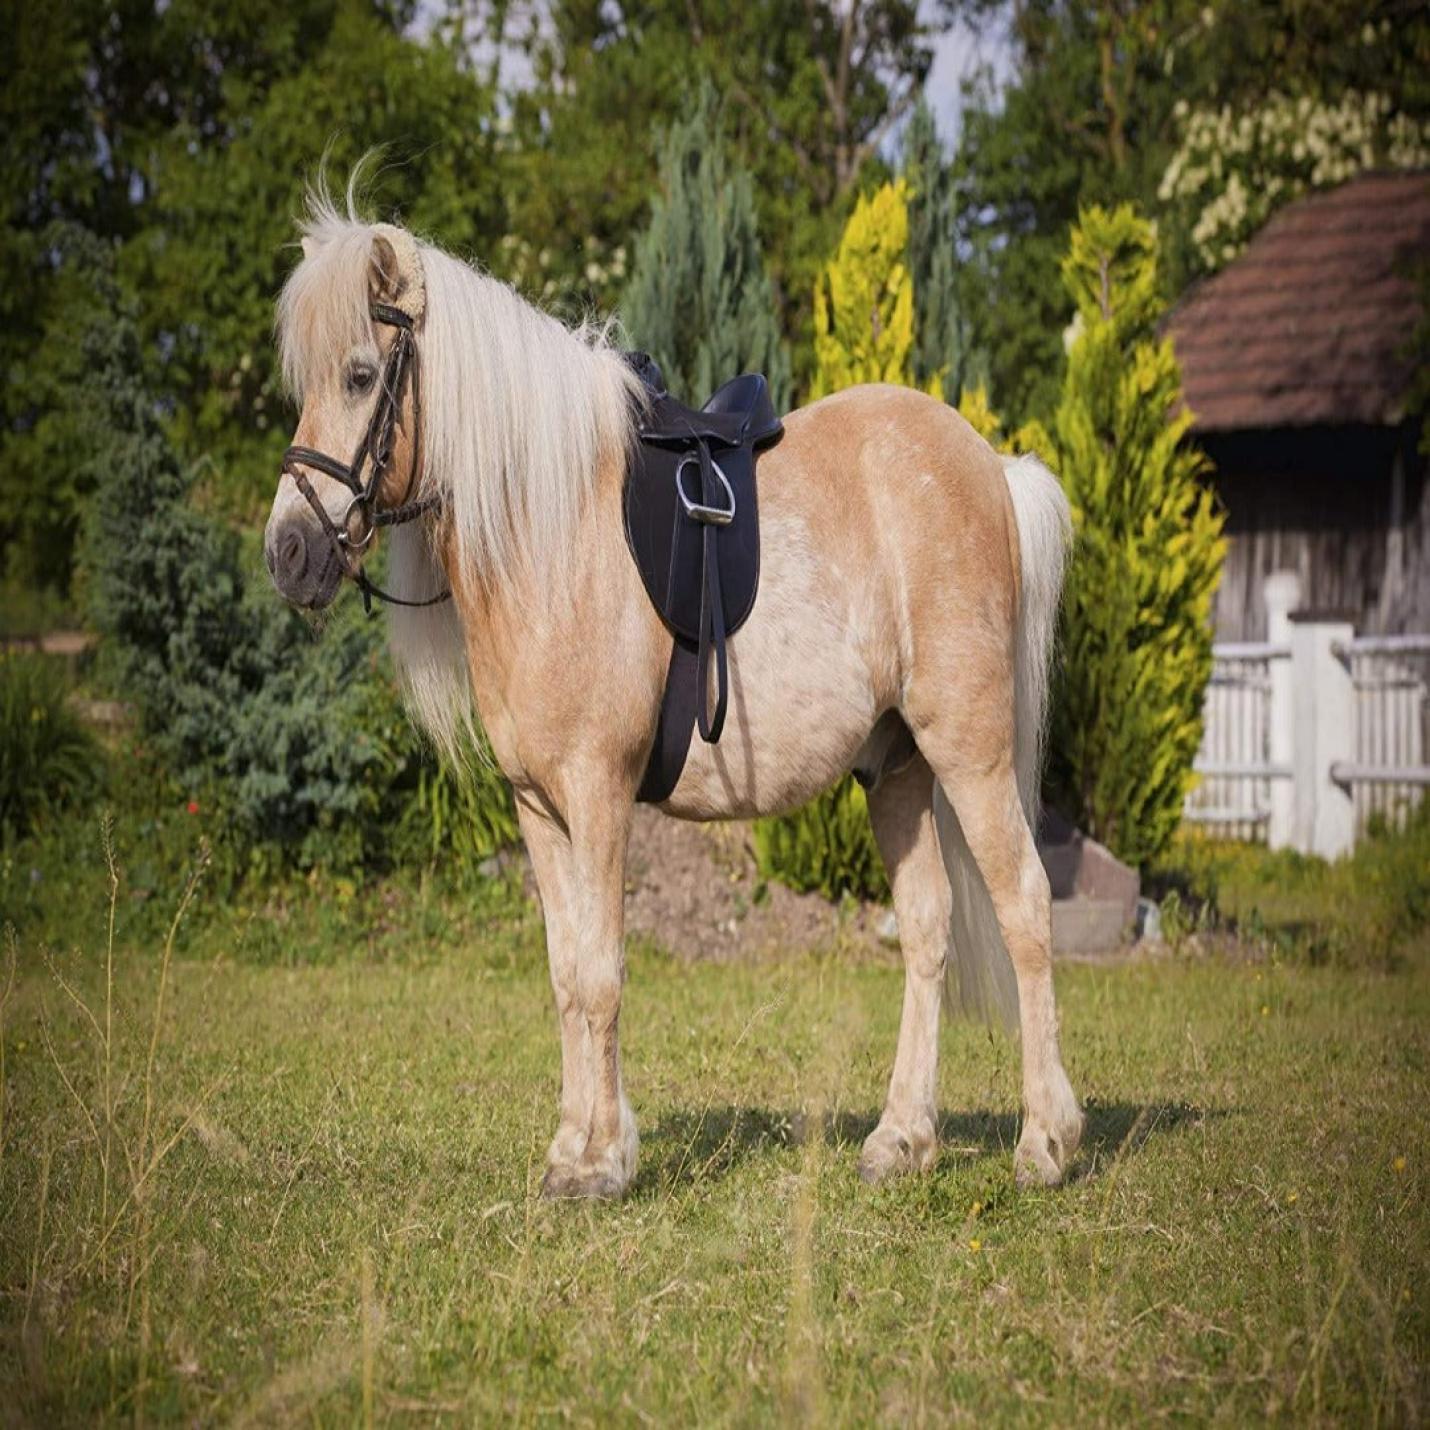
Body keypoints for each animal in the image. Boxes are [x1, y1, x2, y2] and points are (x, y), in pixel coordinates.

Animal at [265, 190, 1081, 1195]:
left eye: (359, 374)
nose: (289, 553)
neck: (553, 532)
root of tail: (993, 469)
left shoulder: (599, 793)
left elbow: (602, 973)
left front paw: (603, 1162)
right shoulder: (539, 807)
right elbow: (565, 975)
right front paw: (570, 1148)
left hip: (968, 748)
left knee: (1025, 906)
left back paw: (1044, 1142)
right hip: (896, 768)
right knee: (927, 929)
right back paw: (901, 1140)